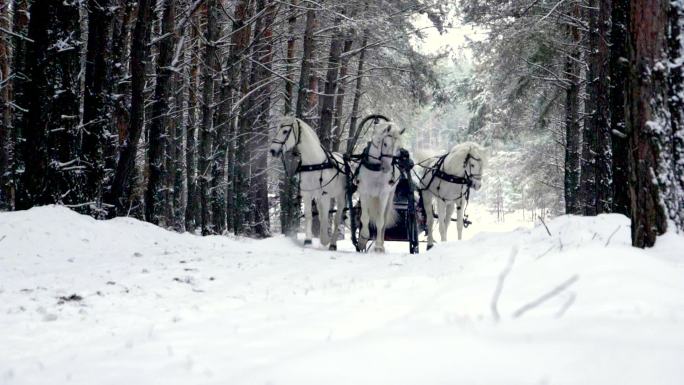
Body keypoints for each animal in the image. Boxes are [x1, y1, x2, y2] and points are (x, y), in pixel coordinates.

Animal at [270, 115, 348, 250]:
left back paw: (332, 243)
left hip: (340, 196)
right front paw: (308, 240)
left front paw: (325, 240)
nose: (273, 151)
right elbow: (309, 215)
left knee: (337, 218)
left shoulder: (325, 195)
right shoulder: (307, 194)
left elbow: (325, 217)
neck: (314, 163)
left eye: (285, 131)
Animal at [352, 120, 406, 252]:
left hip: (390, 196)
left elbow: (380, 221)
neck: (376, 169)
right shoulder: (364, 192)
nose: (387, 168)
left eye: (398, 148)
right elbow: (364, 217)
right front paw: (362, 239)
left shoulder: (383, 194)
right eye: (385, 144)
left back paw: (381, 245)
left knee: (384, 219)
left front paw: (378, 246)